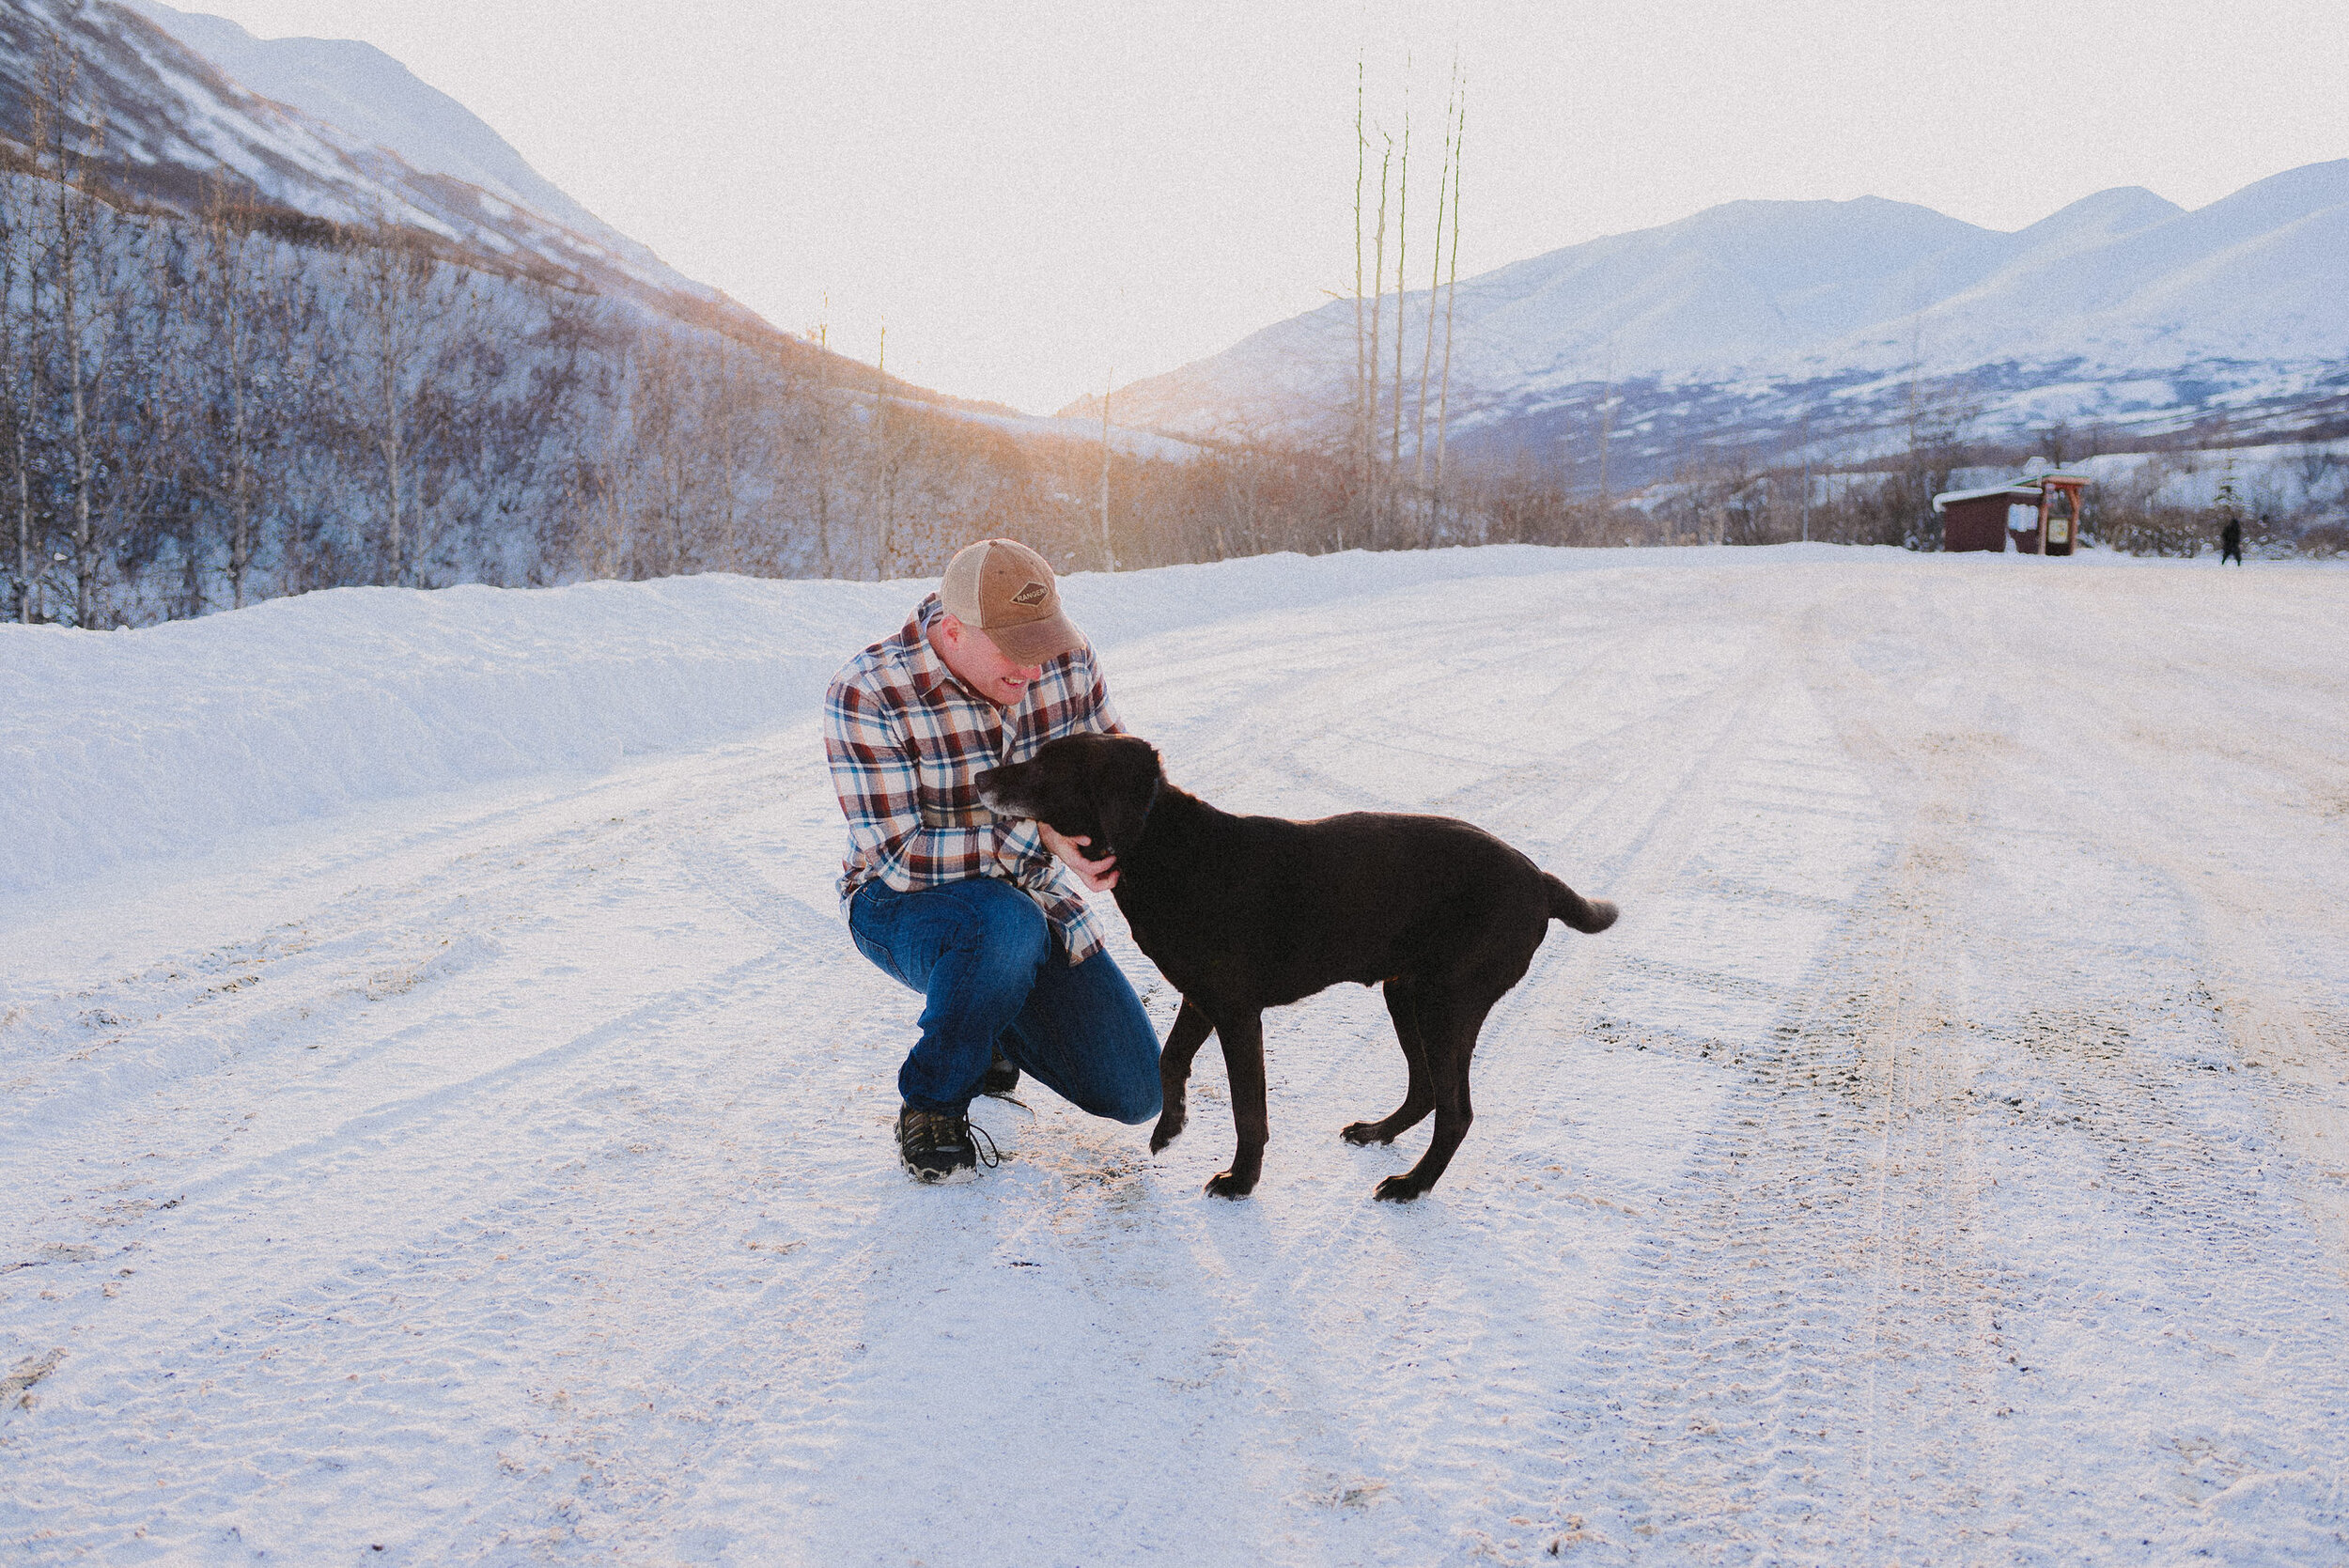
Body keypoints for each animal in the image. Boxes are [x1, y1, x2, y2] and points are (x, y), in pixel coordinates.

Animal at [972, 737, 1616, 1202]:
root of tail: (1539, 879)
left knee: (1456, 1111)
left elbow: (1248, 1109)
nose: (978, 780)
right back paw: (1378, 1134)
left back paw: (1411, 1186)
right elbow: (1170, 1059)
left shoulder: (1237, 1012)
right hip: (1407, 992)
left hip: (1446, 1001)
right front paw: (1171, 1126)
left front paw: (1241, 1181)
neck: (1162, 845)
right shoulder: (1202, 997)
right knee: (1427, 1088)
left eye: (1045, 764)